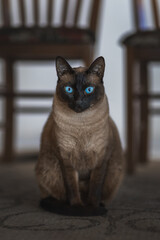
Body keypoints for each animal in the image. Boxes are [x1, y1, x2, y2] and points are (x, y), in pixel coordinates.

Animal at [35, 56, 125, 216]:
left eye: (89, 90)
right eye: (69, 90)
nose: (78, 102)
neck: (81, 125)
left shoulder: (101, 159)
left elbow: (95, 189)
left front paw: (92, 207)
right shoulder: (66, 160)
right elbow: (72, 188)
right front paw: (77, 208)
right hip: (48, 170)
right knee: (53, 195)